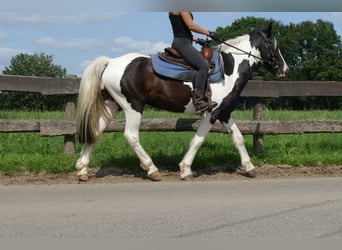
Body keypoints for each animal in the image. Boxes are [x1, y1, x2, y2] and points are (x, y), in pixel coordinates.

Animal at [75, 22, 288, 181]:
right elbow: (198, 140)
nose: (284, 68)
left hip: (113, 105)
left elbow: (238, 138)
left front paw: (250, 168)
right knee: (131, 136)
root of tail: (111, 61)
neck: (229, 69)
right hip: (132, 106)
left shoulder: (225, 112)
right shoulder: (212, 113)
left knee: (96, 131)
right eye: (274, 45)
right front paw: (185, 169)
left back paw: (83, 169)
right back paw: (152, 169)